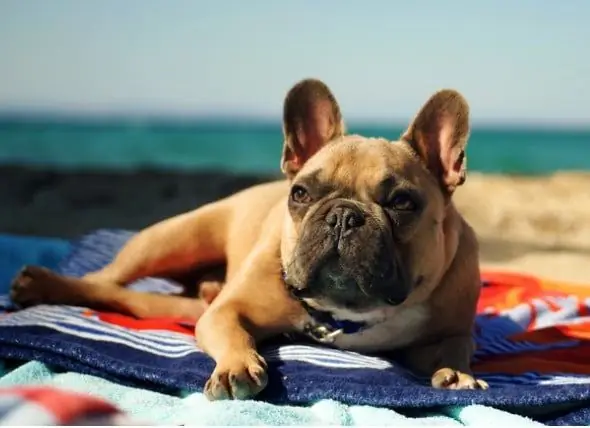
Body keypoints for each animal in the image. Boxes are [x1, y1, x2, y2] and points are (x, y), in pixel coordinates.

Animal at [10, 77, 490, 402]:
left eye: (402, 203)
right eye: (301, 194)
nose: (342, 216)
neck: (348, 317)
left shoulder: (452, 328)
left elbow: (455, 347)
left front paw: (457, 373)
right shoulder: (228, 312)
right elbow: (233, 333)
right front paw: (237, 366)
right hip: (171, 239)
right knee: (105, 281)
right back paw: (42, 284)